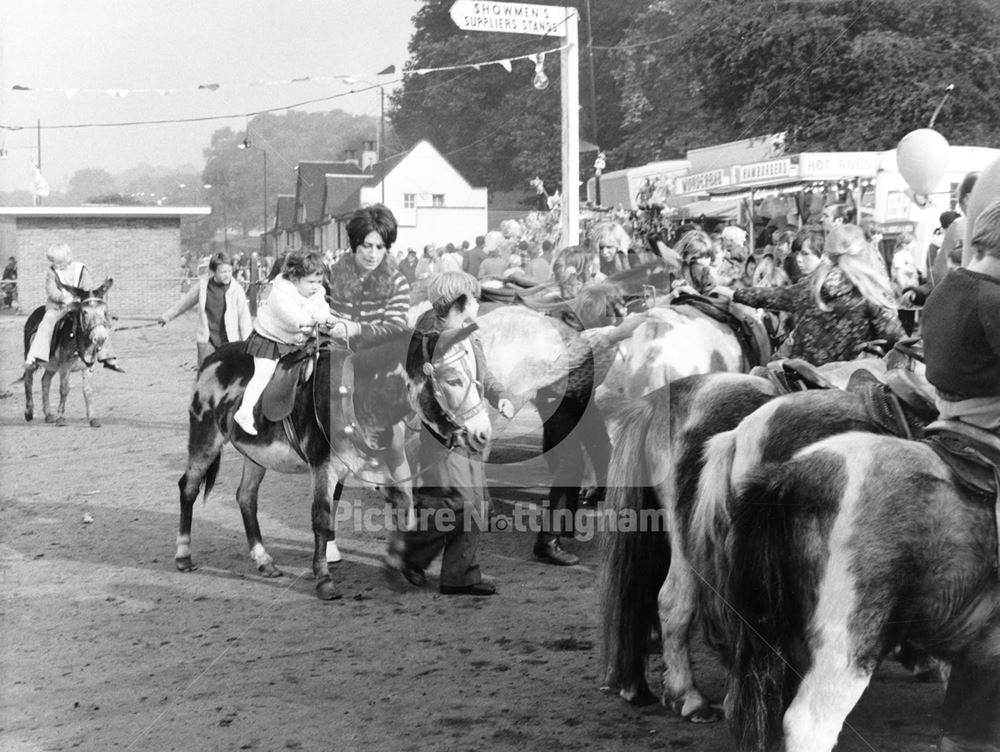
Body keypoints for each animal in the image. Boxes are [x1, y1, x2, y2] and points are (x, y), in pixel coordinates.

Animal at [23, 278, 115, 428]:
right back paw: (29, 412)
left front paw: (92, 419)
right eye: (84, 312)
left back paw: (48, 415)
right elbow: (64, 389)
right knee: (28, 379)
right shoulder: (65, 368)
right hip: (32, 360)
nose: (100, 338)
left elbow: (88, 391)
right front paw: (61, 418)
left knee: (45, 381)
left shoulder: (88, 368)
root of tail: (37, 311)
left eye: (104, 310)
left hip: (52, 366)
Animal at [178, 326, 494, 604]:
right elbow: (321, 518)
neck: (358, 395)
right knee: (188, 488)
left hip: (255, 456)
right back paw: (183, 555)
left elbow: (408, 506)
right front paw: (324, 580)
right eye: (453, 379)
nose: (482, 433)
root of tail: (213, 358)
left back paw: (263, 560)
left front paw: (400, 564)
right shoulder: (324, 468)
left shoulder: (378, 468)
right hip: (206, 439)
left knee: (246, 496)